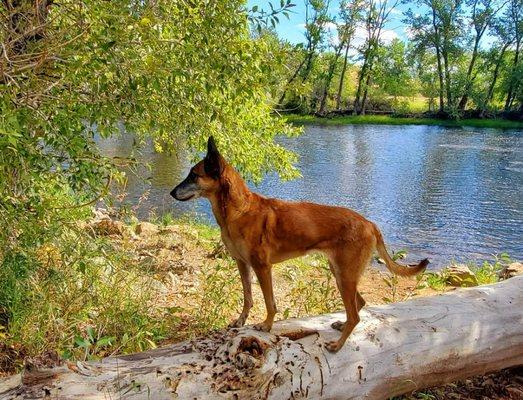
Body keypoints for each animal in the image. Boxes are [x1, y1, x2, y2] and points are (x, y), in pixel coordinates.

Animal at [173, 137, 430, 350]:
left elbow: (270, 302)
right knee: (359, 304)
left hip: (344, 276)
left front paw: (266, 326)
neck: (239, 211)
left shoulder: (262, 267)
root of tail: (369, 222)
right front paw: (240, 320)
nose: (171, 193)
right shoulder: (242, 264)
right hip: (340, 273)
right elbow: (247, 297)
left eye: (193, 175)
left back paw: (338, 345)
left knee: (355, 314)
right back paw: (340, 327)